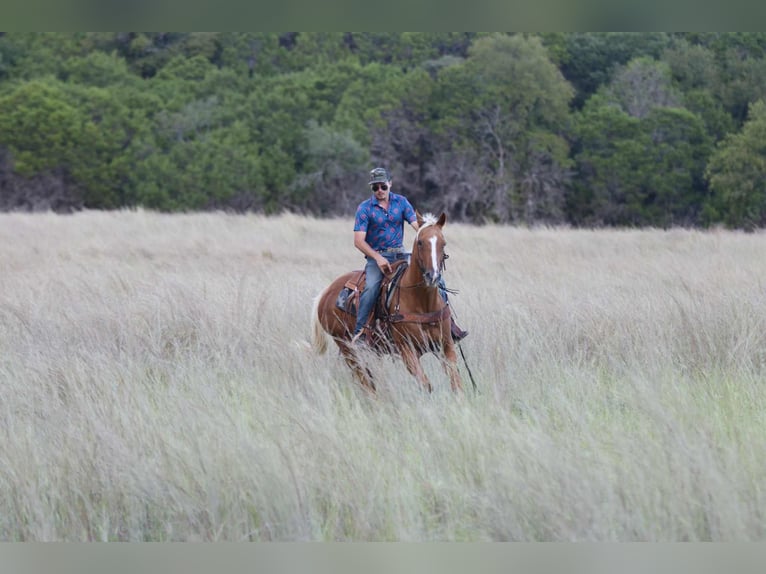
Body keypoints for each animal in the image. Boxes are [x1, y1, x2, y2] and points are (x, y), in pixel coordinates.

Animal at [311, 211, 463, 394]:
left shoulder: (446, 345)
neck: (422, 301)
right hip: (347, 348)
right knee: (365, 381)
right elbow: (426, 385)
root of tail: (326, 293)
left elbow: (456, 382)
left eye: (443, 243)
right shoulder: (407, 349)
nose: (432, 276)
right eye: (420, 242)